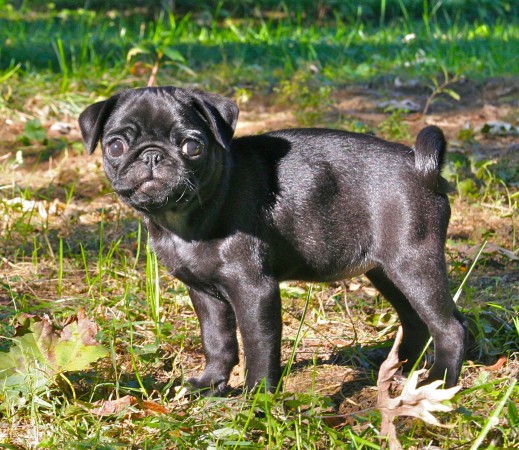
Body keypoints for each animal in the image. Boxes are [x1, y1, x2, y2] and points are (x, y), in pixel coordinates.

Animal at [79, 85, 470, 394]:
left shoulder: (254, 290)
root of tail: (420, 165)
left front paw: (257, 397)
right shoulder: (205, 294)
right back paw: (396, 367)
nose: (152, 154)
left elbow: (258, 344)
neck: (184, 217)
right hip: (386, 271)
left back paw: (438, 383)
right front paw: (210, 384)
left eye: (192, 146)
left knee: (450, 327)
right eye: (116, 146)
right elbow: (217, 340)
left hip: (412, 263)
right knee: (417, 320)